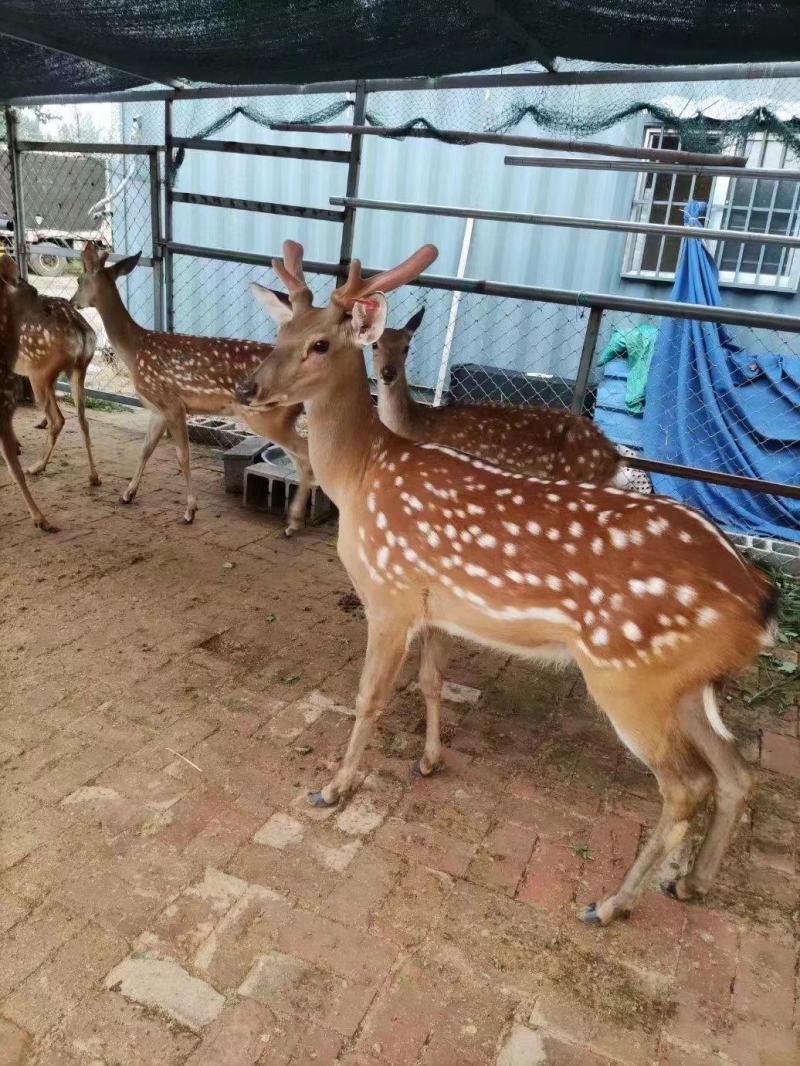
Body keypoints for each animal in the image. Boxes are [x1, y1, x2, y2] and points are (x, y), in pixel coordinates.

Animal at [0, 256, 101, 487]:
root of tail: (82, 332)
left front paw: (16, 446)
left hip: (39, 371)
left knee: (59, 419)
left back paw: (37, 466)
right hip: (77, 369)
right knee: (83, 419)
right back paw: (94, 476)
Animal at [71, 242, 314, 532]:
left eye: (78, 279)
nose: (72, 302)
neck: (134, 349)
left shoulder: (172, 403)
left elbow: (182, 456)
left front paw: (190, 511)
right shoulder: (157, 409)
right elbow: (145, 450)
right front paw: (128, 493)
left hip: (267, 417)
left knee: (306, 456)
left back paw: (295, 523)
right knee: (301, 458)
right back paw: (296, 519)